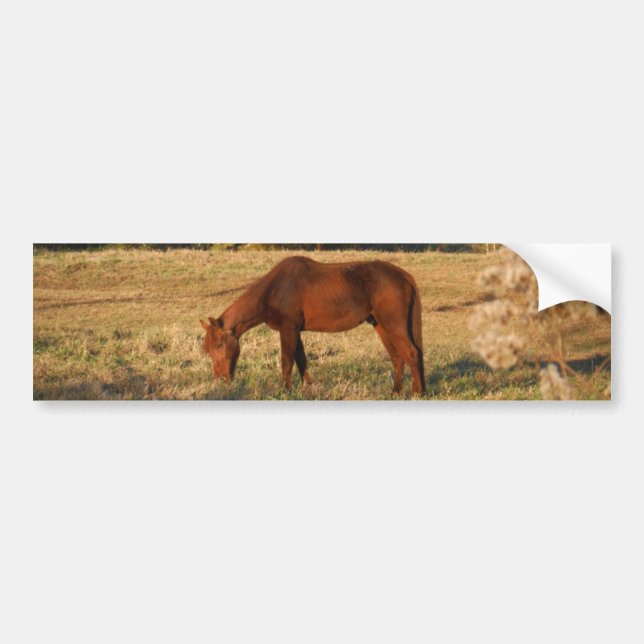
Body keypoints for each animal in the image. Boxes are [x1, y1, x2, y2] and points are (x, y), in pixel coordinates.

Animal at [200, 256, 426, 395]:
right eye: (208, 349)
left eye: (218, 345)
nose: (221, 380)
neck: (274, 289)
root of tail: (403, 275)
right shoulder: (295, 331)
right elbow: (301, 360)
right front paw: (307, 387)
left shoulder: (288, 329)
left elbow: (287, 361)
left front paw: (285, 390)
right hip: (380, 325)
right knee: (397, 357)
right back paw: (396, 391)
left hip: (393, 324)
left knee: (411, 353)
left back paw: (417, 392)